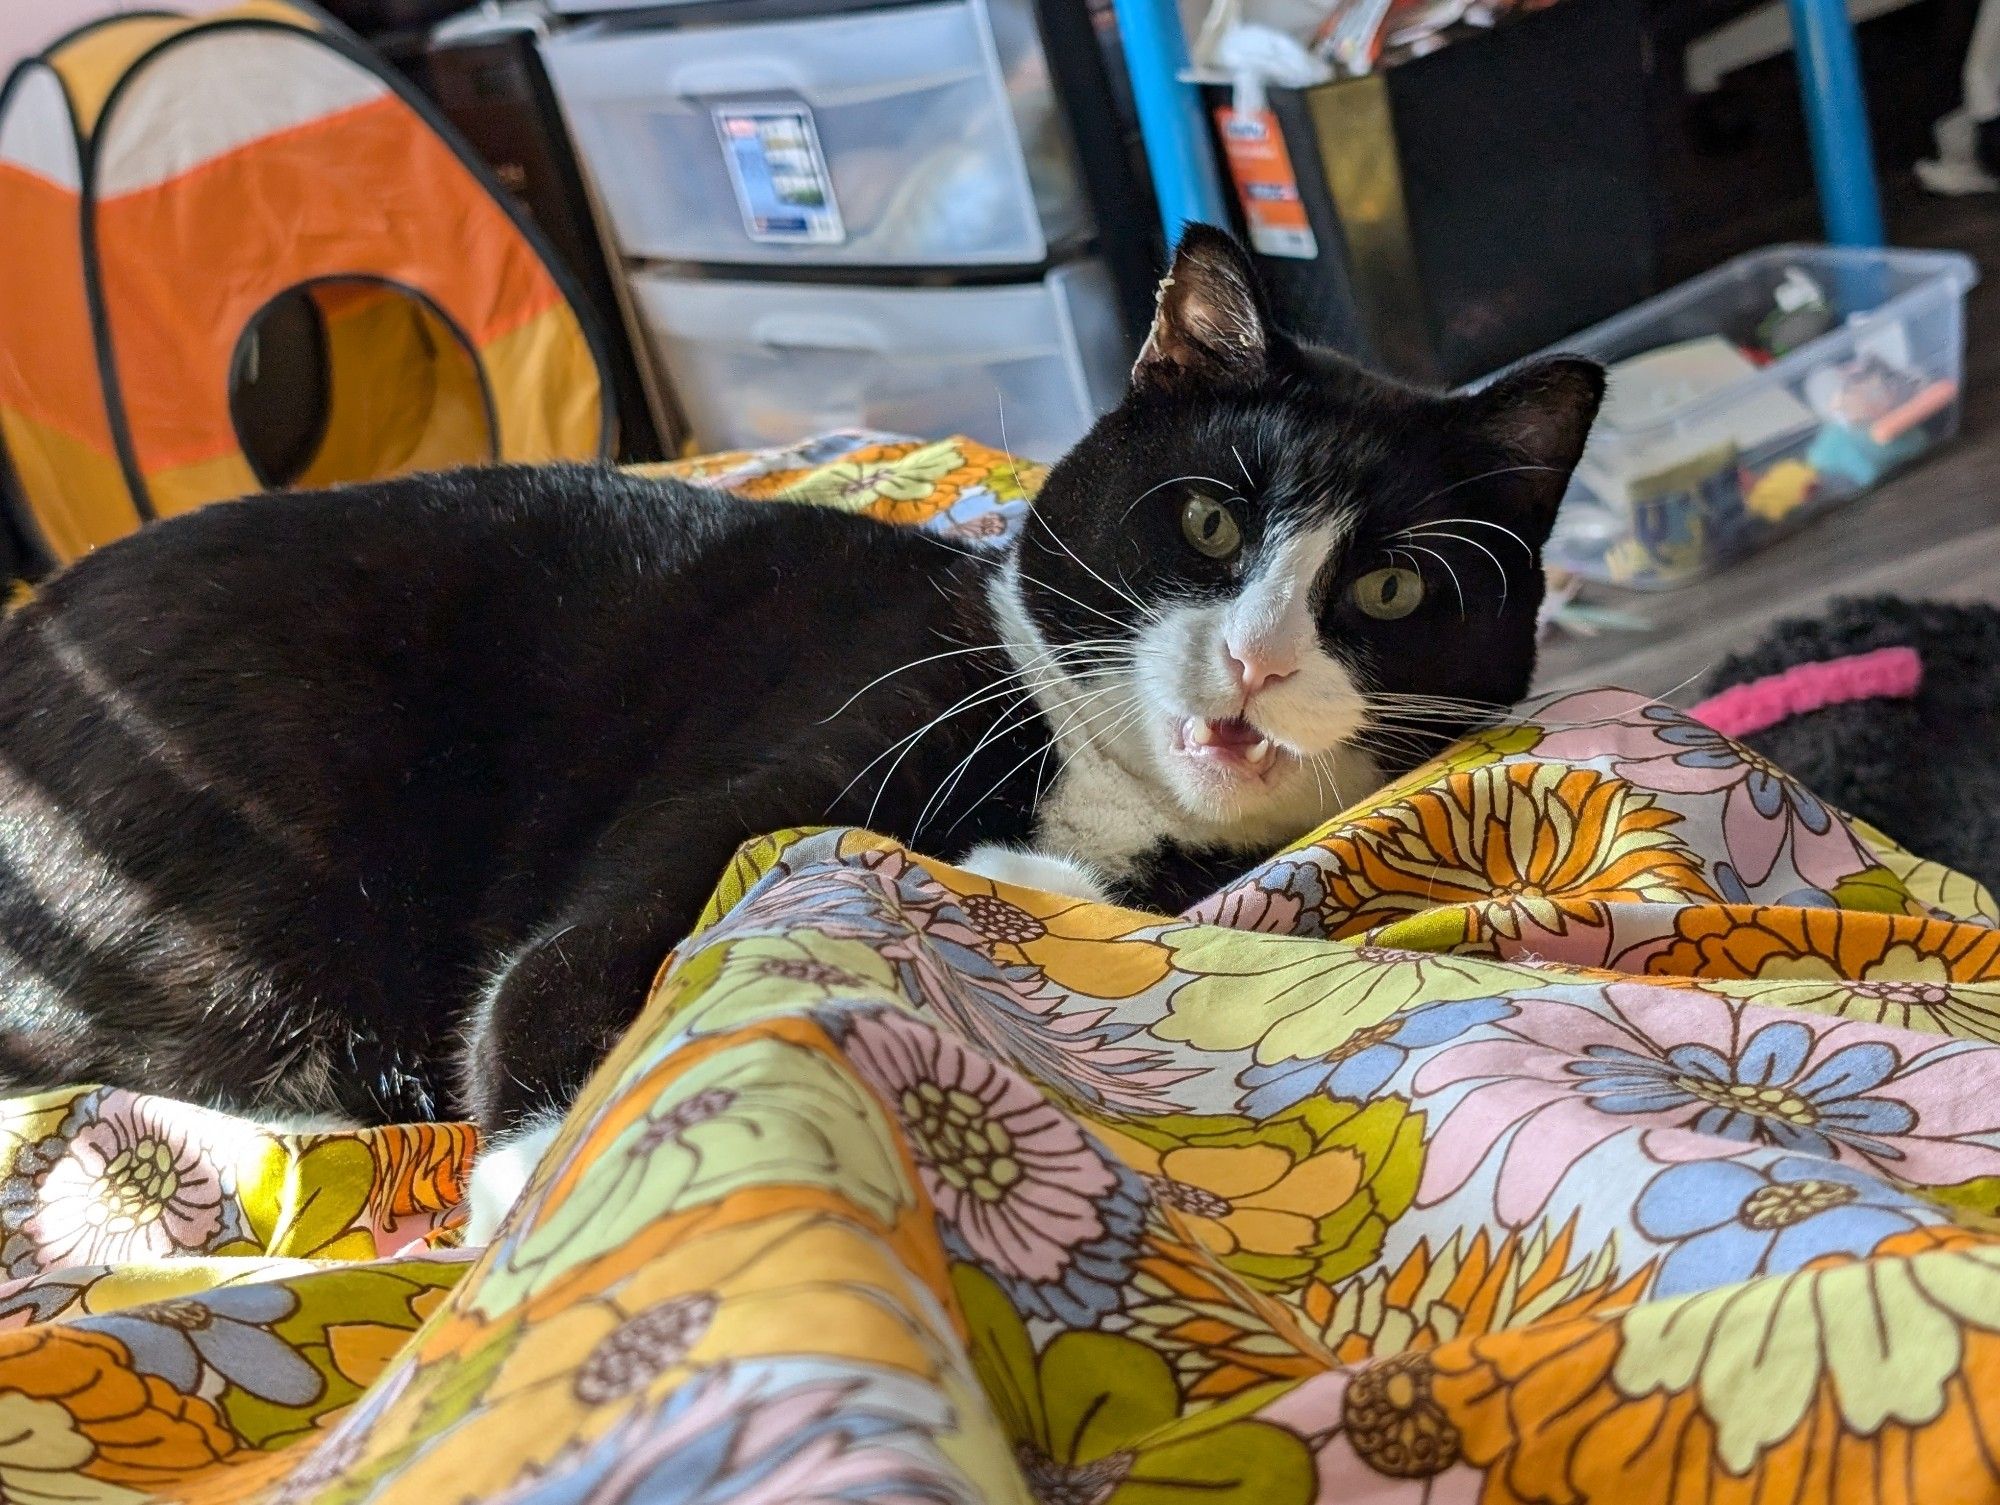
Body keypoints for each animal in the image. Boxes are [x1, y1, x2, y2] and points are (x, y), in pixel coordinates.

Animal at [0, 223, 1600, 1232]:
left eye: (1387, 587)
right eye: (1209, 519)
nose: (1261, 661)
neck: (1098, 780)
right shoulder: (793, 750)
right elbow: (560, 970)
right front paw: (555, 1193)